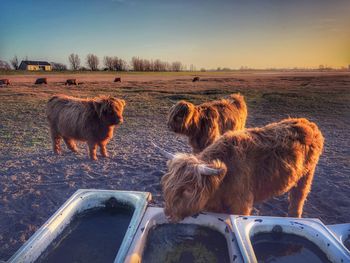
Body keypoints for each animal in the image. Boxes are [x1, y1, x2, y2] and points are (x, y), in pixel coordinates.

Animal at [161, 118, 326, 223]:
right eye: (167, 186)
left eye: (188, 190)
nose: (168, 215)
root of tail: (308, 123)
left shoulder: (241, 205)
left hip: (307, 175)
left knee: (298, 198)